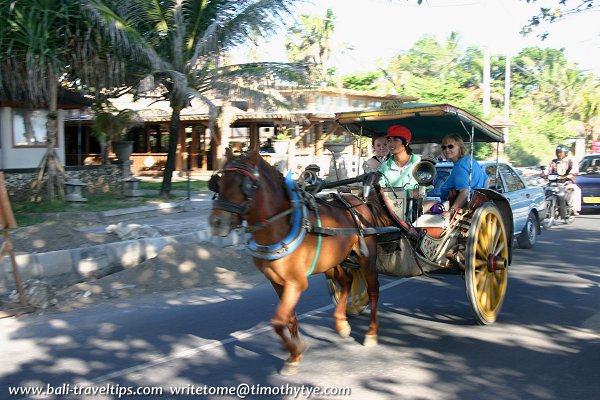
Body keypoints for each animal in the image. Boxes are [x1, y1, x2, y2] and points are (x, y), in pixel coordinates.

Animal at [210, 149, 380, 376]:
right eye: (218, 183)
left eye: (243, 185)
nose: (216, 222)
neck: (281, 226)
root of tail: (358, 199)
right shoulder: (277, 281)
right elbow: (288, 319)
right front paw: (294, 356)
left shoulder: (296, 283)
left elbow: (278, 321)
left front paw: (297, 348)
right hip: (331, 263)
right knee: (347, 280)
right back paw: (341, 324)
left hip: (367, 257)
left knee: (372, 290)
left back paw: (371, 333)